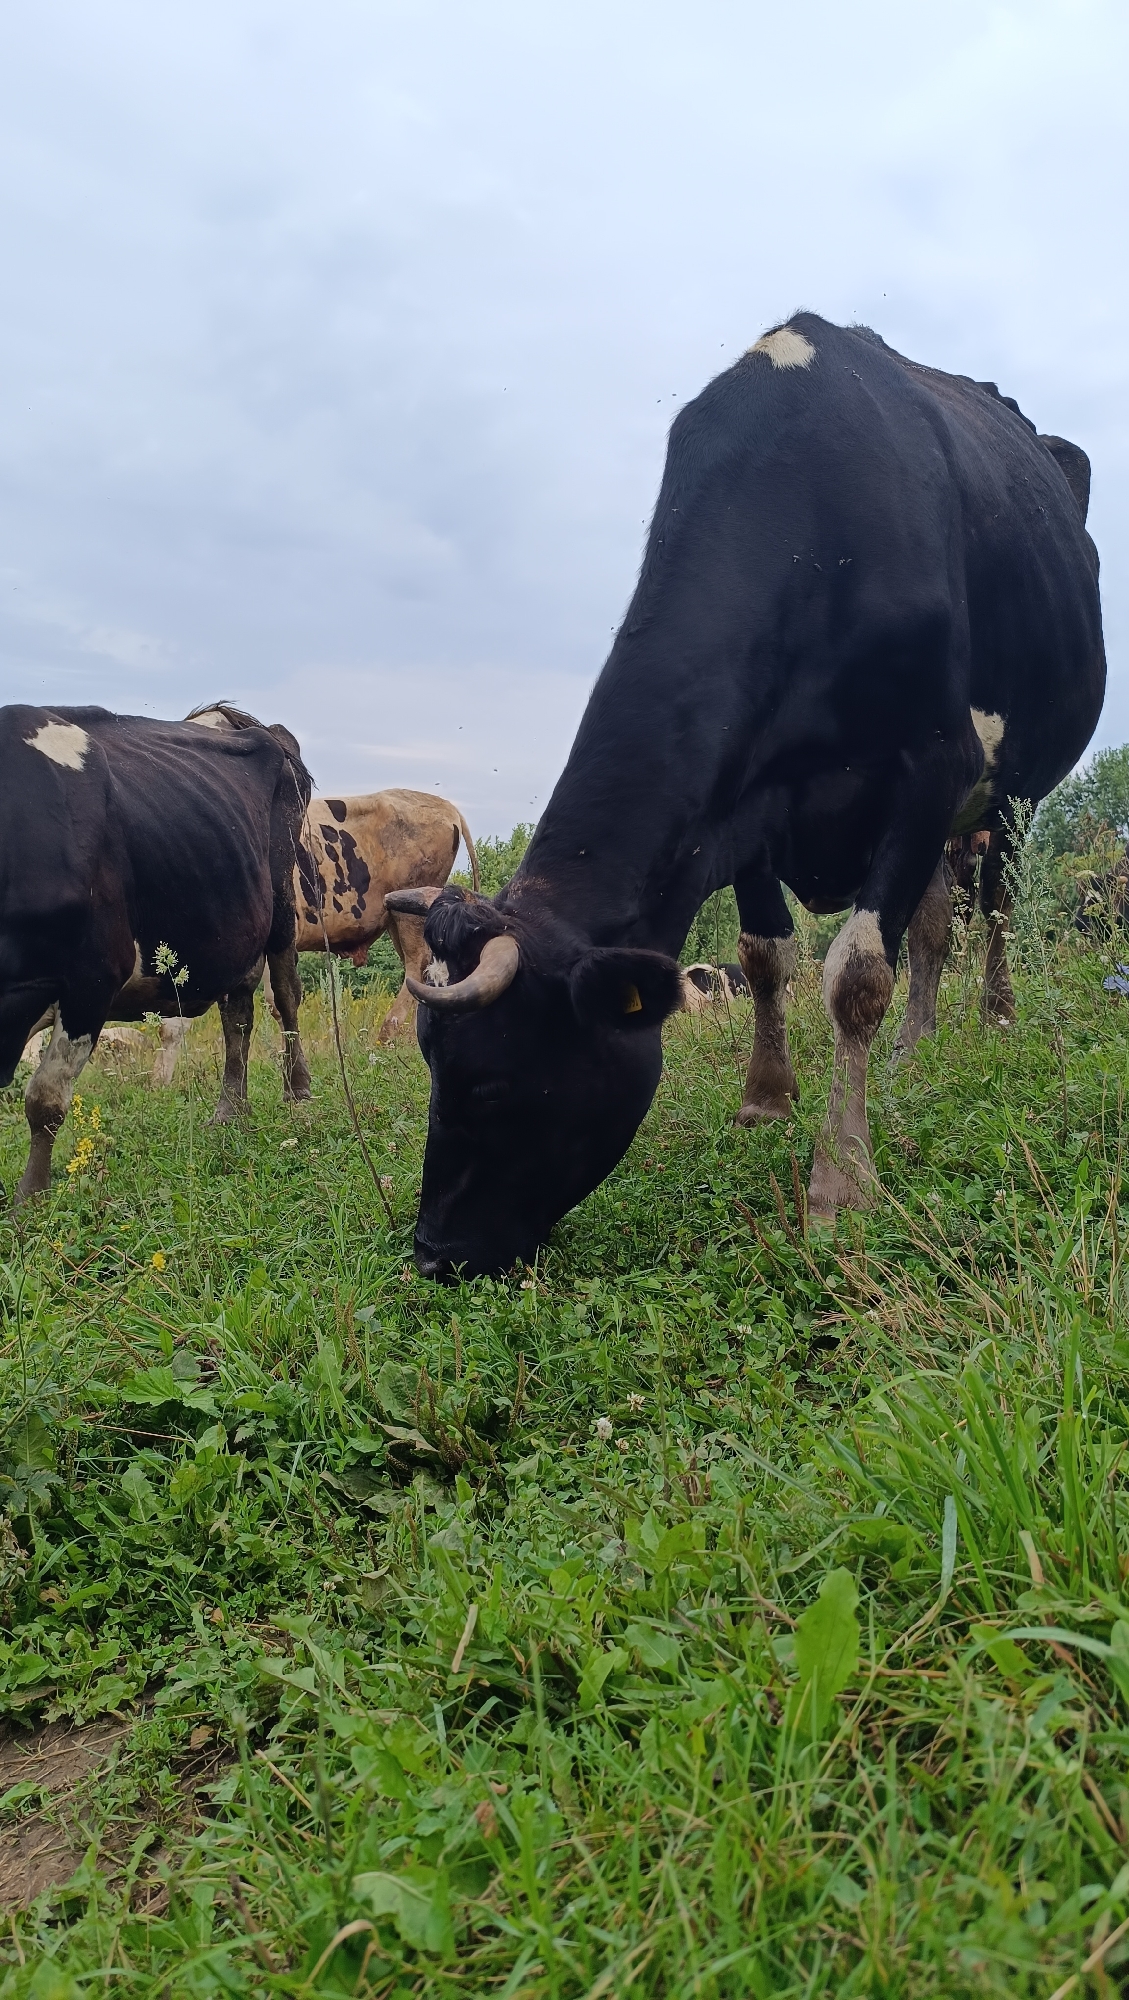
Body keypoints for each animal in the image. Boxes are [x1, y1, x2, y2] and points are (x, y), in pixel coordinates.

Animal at [0, 702, 312, 1203]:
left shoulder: (92, 977)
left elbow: (44, 1100)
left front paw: (29, 1200)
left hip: (283, 900)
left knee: (285, 995)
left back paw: (298, 1091)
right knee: (238, 1014)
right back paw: (231, 1110)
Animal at [385, 314, 1104, 1279]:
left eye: (493, 1082)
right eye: (430, 1061)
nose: (434, 1253)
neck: (813, 536)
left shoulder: (928, 767)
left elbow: (856, 976)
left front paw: (840, 1180)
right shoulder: (741, 809)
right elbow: (766, 955)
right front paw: (766, 1099)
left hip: (1009, 799)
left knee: (990, 908)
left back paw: (993, 1017)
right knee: (933, 928)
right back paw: (914, 1050)